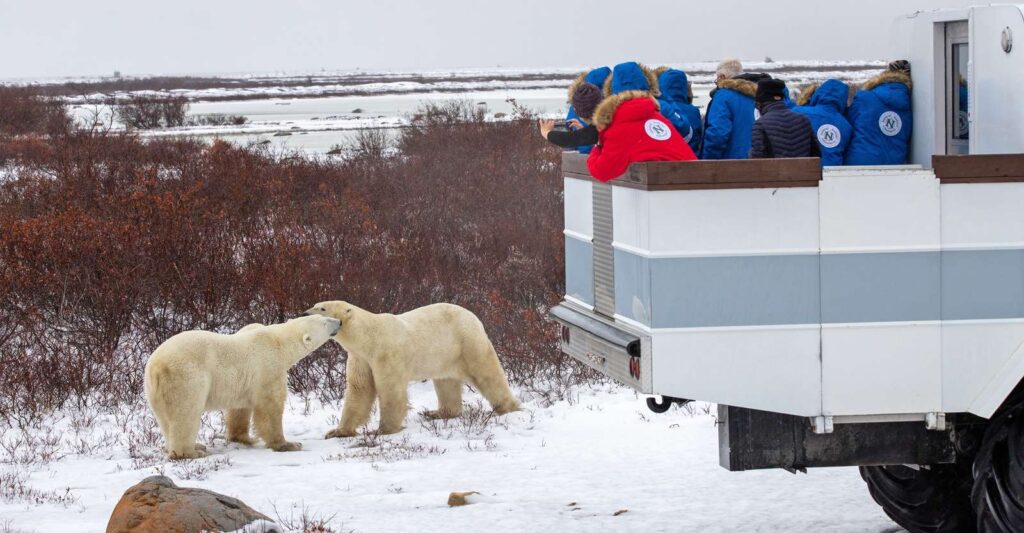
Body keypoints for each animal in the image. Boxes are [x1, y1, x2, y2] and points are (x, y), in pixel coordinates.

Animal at [143, 313, 339, 458]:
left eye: (323, 315)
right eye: (325, 322)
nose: (339, 321)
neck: (278, 341)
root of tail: (156, 367)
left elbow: (239, 408)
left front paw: (244, 438)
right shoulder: (268, 366)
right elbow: (270, 407)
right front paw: (288, 444)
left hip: (154, 391)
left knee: (165, 420)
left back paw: (193, 446)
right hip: (186, 378)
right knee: (185, 414)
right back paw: (191, 452)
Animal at [303, 298, 520, 435]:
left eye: (322, 308)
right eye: (315, 305)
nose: (304, 312)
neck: (369, 338)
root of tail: (473, 315)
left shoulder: (386, 354)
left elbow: (390, 389)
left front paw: (383, 429)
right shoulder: (361, 358)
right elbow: (359, 389)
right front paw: (338, 431)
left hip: (466, 342)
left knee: (486, 372)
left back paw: (508, 407)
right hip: (444, 354)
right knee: (446, 382)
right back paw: (437, 412)